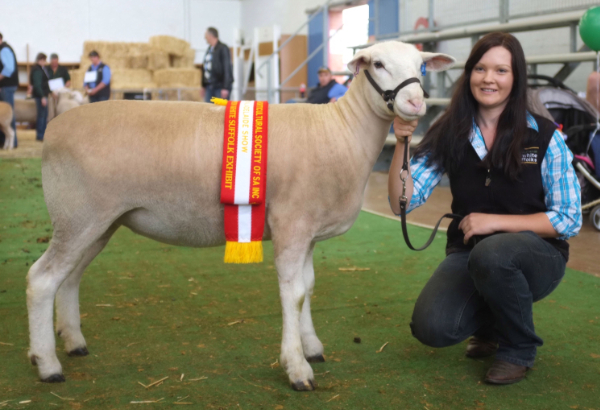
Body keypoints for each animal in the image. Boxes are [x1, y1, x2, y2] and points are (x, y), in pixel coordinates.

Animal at [24, 41, 454, 390]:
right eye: (378, 64)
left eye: (422, 64)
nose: (415, 103)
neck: (340, 132)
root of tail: (56, 127)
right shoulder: (292, 223)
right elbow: (294, 293)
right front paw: (297, 367)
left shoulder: (307, 231)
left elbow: (308, 287)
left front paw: (311, 346)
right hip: (79, 216)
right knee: (42, 280)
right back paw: (47, 364)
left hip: (97, 222)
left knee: (70, 278)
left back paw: (73, 342)